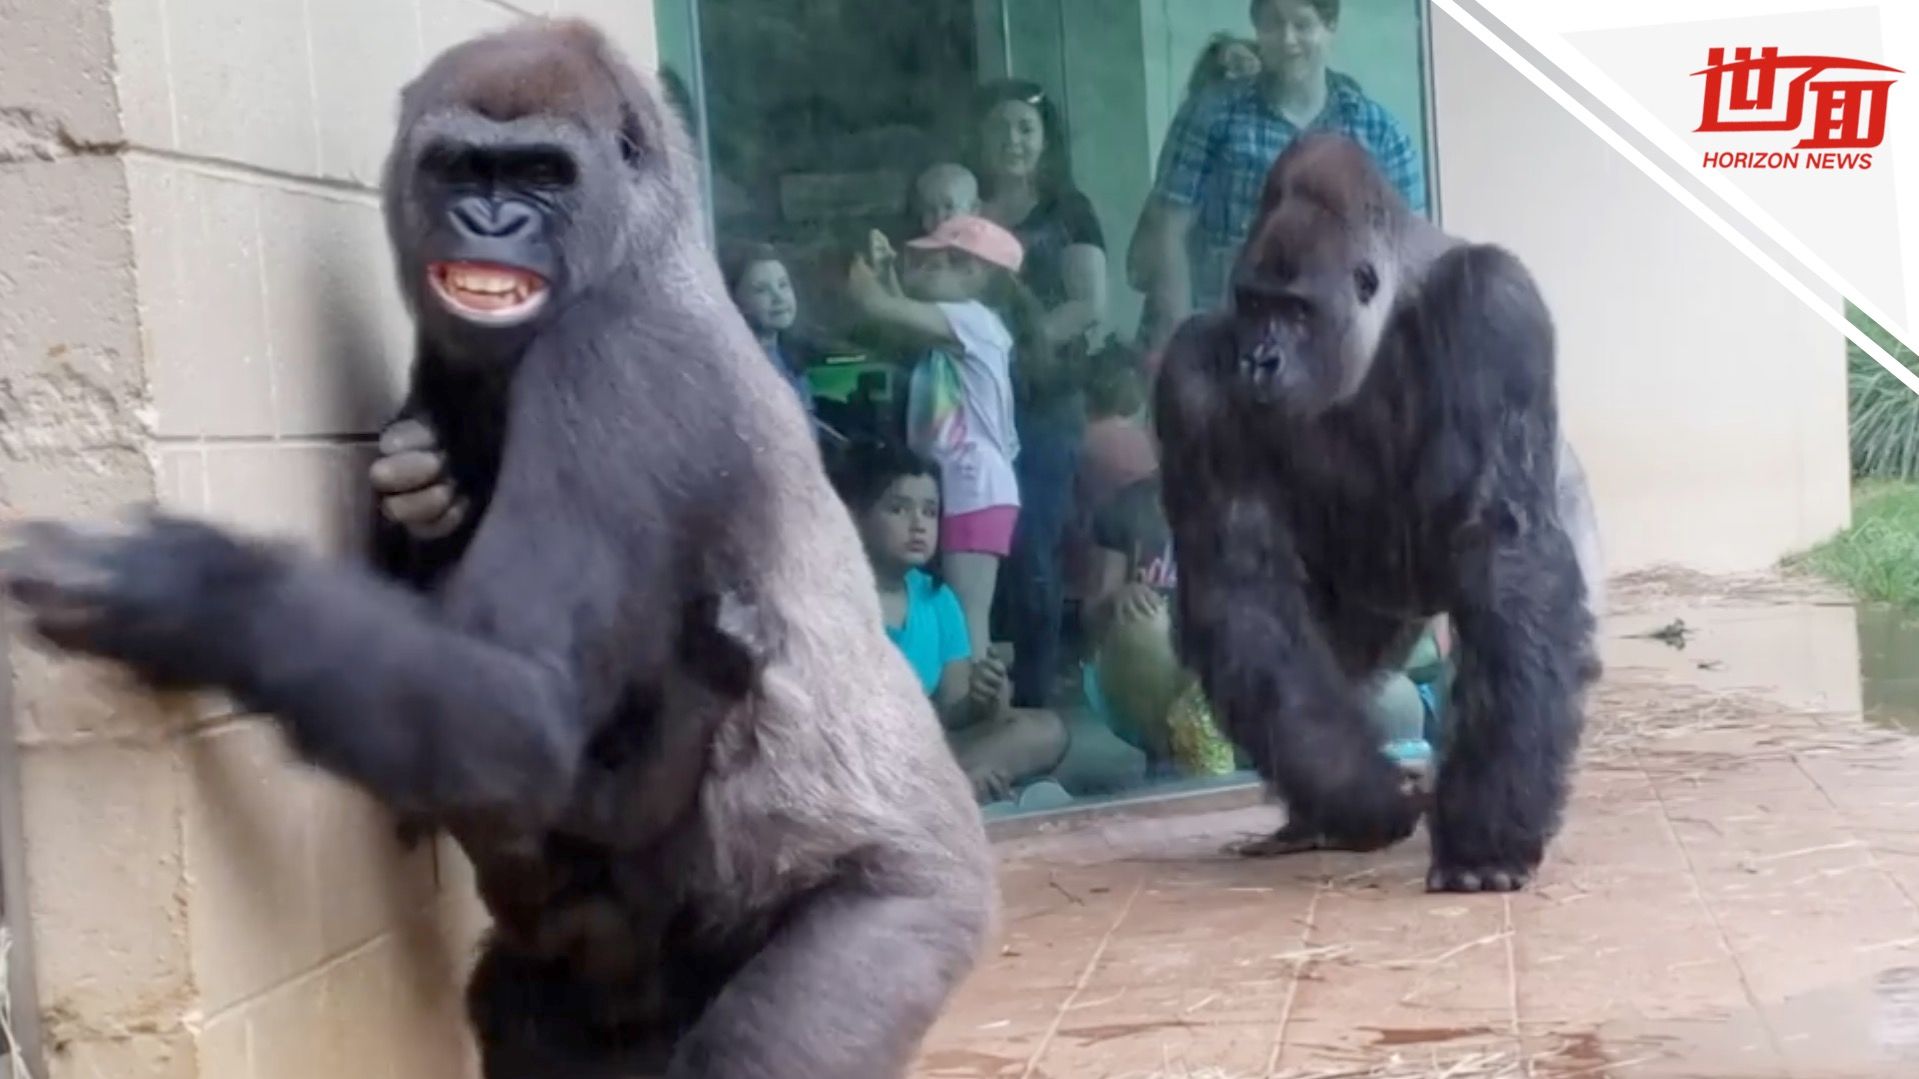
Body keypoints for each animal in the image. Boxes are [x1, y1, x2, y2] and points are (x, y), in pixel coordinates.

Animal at [0, 18, 1005, 1075]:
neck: (646, 251)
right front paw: (416, 494)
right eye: (460, 168)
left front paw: (187, 590)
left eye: (541, 174)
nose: (488, 222)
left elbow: (523, 701)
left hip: (907, 914)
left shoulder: (615, 366)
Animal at [1151, 130, 1604, 890]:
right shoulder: (1191, 374)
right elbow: (1243, 589)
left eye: (1296, 309)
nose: (1259, 360)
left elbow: (1505, 547)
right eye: (1253, 303)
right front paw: (1356, 796)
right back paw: (1310, 817)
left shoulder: (1493, 309)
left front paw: (1486, 833)